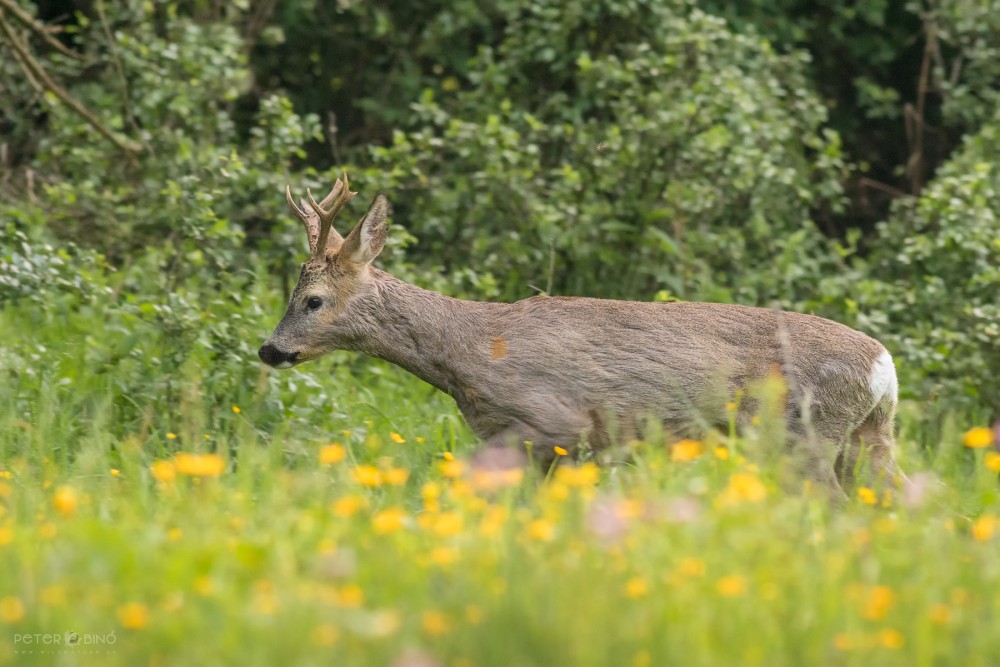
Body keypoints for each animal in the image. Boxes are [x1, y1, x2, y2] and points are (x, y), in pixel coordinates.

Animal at [258, 177, 900, 496]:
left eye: (313, 300)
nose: (270, 348)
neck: (469, 353)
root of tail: (885, 367)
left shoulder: (555, 421)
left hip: (801, 435)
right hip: (868, 436)